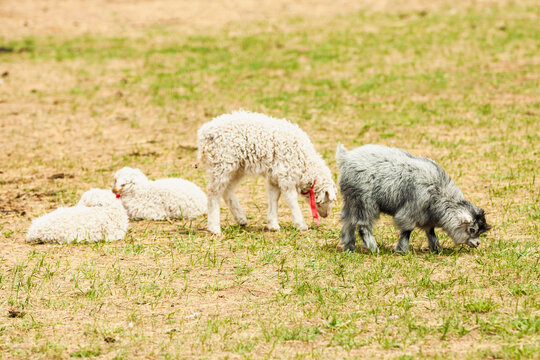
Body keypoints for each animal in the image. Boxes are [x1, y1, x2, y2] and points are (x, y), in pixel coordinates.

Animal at [196, 109, 336, 235]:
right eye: (324, 201)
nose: (325, 215)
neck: (304, 163)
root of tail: (204, 133)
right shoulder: (286, 175)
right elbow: (291, 199)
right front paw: (300, 224)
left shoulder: (275, 176)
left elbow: (274, 198)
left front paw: (273, 224)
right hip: (222, 163)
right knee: (214, 193)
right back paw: (214, 227)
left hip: (237, 167)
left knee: (227, 190)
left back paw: (241, 219)